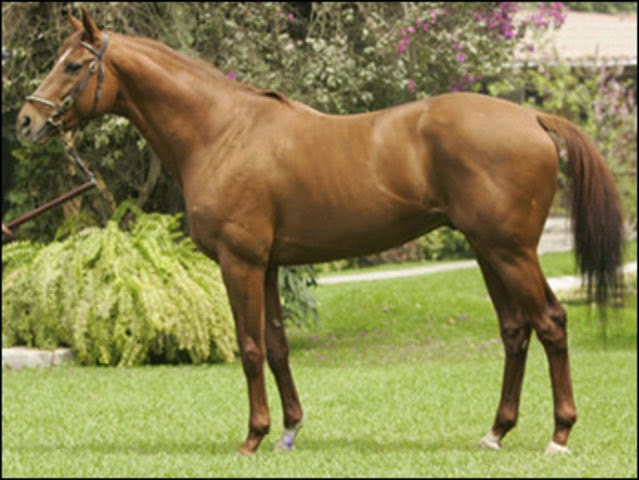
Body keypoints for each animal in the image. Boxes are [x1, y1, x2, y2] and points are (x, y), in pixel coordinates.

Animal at [17, 7, 624, 456]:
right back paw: (495, 432)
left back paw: (559, 435)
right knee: (516, 331)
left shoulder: (239, 261)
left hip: (511, 251)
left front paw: (252, 438)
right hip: (487, 250)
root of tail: (532, 119)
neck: (222, 131)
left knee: (551, 323)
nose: (26, 121)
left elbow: (250, 348)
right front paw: (287, 431)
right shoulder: (267, 265)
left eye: (73, 65)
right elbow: (278, 346)